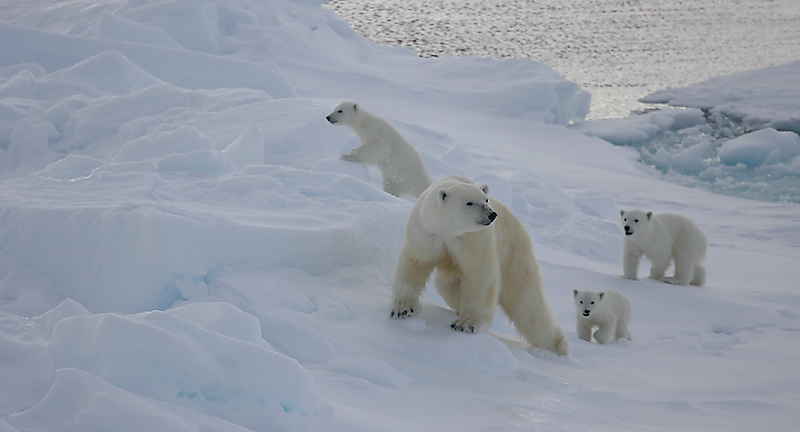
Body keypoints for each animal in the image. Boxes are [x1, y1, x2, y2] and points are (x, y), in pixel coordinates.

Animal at [390, 175, 568, 354]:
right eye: (469, 203)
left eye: (485, 199)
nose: (492, 214)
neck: (449, 231)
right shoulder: (426, 232)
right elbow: (414, 263)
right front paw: (403, 309)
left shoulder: (474, 238)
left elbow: (479, 273)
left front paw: (466, 324)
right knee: (447, 286)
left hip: (513, 254)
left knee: (525, 302)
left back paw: (556, 347)